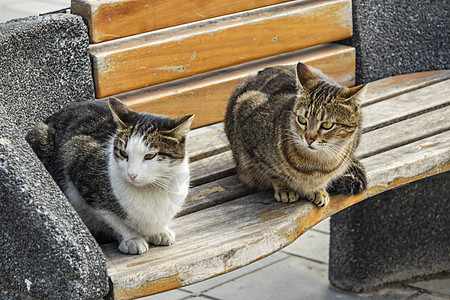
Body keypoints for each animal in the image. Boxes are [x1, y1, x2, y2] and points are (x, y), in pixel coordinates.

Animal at [25, 98, 192, 253]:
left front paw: (160, 230)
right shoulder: (75, 155)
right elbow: (111, 219)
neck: (152, 189)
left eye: (150, 156)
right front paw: (131, 239)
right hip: (41, 135)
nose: (131, 174)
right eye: (123, 153)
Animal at [227, 62, 368, 209]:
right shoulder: (247, 114)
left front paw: (319, 190)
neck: (316, 165)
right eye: (302, 119)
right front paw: (285, 189)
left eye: (327, 125)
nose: (309, 139)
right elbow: (274, 174)